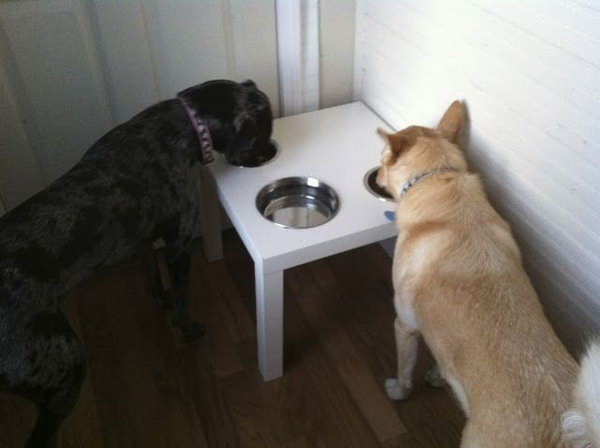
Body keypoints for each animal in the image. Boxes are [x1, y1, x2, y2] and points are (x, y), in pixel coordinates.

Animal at [0, 78, 274, 444]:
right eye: (263, 133)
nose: (272, 153)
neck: (187, 122)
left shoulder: (144, 238)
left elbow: (151, 276)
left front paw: (159, 299)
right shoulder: (179, 245)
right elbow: (182, 300)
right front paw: (188, 330)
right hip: (64, 366)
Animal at [378, 102, 596, 448]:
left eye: (381, 159)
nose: (375, 175)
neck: (438, 180)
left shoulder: (406, 325)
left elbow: (405, 371)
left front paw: (399, 391)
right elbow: (443, 360)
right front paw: (439, 377)